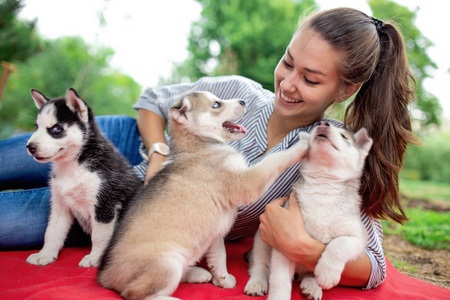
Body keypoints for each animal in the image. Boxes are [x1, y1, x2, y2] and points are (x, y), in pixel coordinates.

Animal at [25, 89, 141, 268]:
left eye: (56, 129)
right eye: (37, 127)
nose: (30, 147)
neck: (73, 167)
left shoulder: (104, 204)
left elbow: (100, 236)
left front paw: (95, 257)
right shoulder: (60, 206)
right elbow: (52, 232)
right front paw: (45, 254)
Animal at [97, 91, 310, 300]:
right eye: (216, 105)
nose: (243, 101)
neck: (200, 144)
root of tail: (104, 276)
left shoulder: (214, 232)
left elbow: (219, 256)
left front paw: (223, 279)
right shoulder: (249, 181)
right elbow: (275, 159)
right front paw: (304, 143)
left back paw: (197, 273)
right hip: (167, 263)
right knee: (136, 293)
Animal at [246, 120, 372, 300]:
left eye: (344, 136)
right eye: (313, 131)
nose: (324, 123)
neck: (323, 189)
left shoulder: (358, 237)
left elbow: (339, 244)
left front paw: (327, 273)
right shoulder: (281, 243)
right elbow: (279, 279)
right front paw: (278, 296)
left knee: (308, 272)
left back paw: (312, 284)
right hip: (260, 241)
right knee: (259, 265)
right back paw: (257, 282)